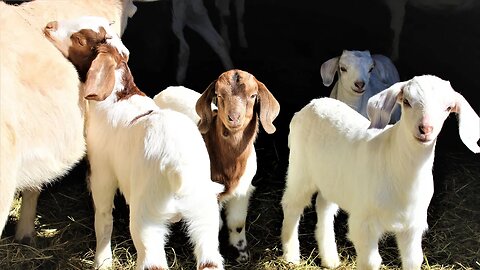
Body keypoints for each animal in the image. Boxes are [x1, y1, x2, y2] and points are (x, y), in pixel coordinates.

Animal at [156, 69, 280, 262]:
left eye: (253, 95)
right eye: (219, 95)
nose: (233, 118)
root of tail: (165, 91)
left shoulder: (242, 190)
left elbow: (237, 223)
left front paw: (241, 254)